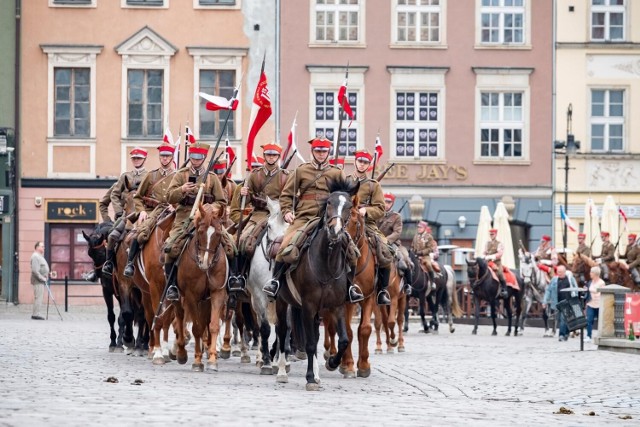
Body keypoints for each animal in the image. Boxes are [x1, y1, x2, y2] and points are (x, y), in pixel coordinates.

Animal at [171, 202, 229, 372]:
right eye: (200, 231)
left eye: (218, 233)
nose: (205, 263)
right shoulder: (191, 296)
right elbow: (196, 328)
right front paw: (197, 361)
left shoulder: (217, 292)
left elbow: (213, 325)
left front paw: (212, 359)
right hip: (179, 297)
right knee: (180, 318)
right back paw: (181, 352)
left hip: (205, 301)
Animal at [272, 177, 358, 392]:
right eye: (329, 203)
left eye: (349, 206)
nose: (335, 231)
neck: (327, 263)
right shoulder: (308, 306)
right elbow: (310, 344)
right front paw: (310, 378)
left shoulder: (336, 306)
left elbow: (343, 340)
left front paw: (332, 363)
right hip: (281, 302)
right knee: (282, 331)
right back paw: (282, 371)